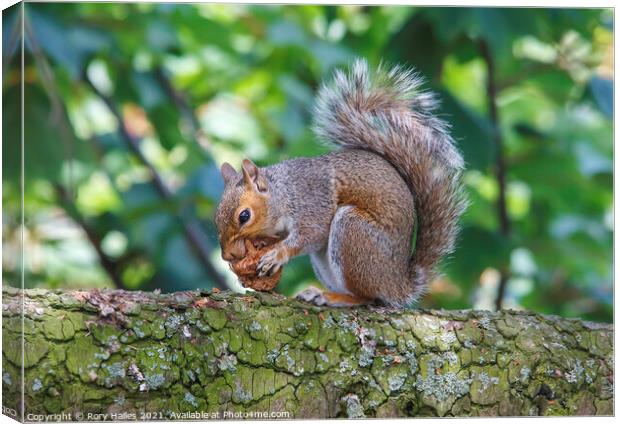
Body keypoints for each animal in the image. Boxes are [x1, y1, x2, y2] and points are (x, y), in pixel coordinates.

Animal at [213, 58, 464, 306]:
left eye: (244, 216)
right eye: (216, 217)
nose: (228, 256)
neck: (283, 194)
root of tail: (397, 284)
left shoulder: (313, 202)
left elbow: (311, 235)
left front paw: (277, 254)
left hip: (353, 233)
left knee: (366, 297)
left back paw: (330, 296)